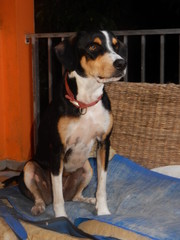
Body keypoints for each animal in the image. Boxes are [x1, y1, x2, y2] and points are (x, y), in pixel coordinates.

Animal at [19, 30, 126, 218]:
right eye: (93, 46)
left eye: (115, 45)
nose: (122, 63)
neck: (86, 103)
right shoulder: (57, 149)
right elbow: (58, 197)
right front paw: (61, 218)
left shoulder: (104, 143)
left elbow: (102, 187)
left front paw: (103, 210)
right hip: (30, 167)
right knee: (42, 196)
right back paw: (39, 206)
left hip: (87, 168)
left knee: (75, 196)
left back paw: (89, 200)